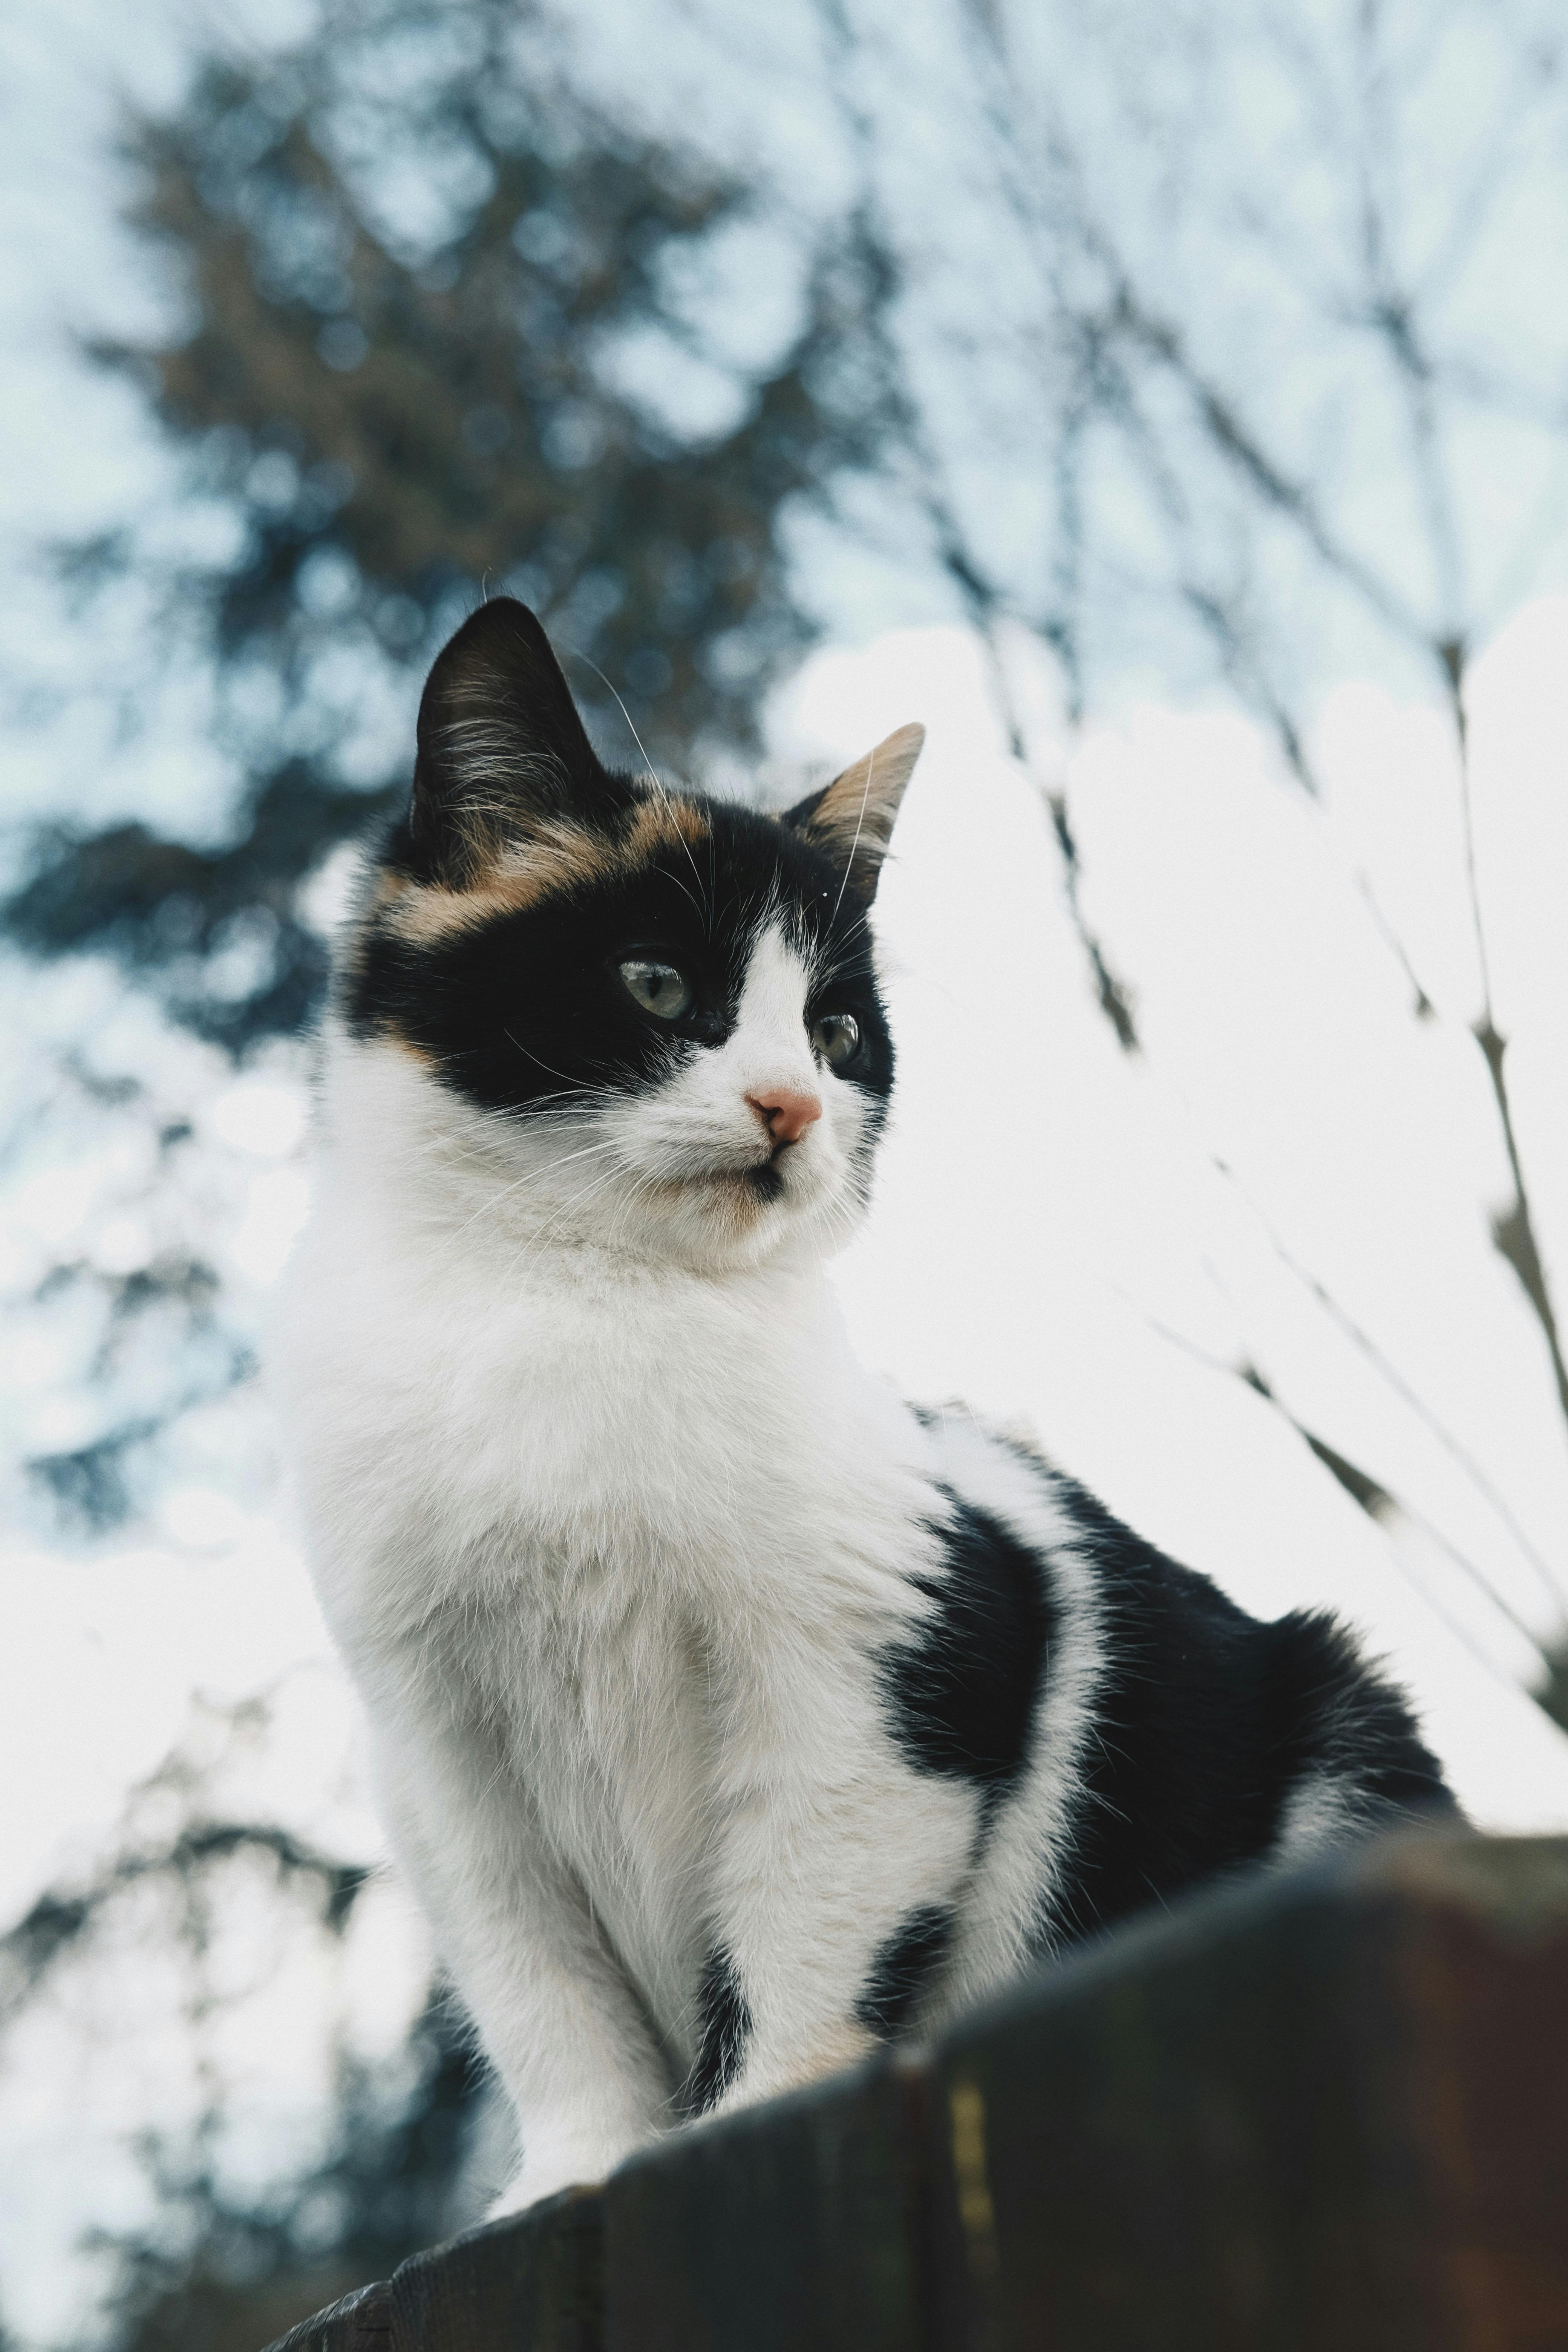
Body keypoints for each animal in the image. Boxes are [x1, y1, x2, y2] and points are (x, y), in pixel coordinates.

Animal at [273, 597, 1457, 2211]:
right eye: (658, 985)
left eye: (838, 1035)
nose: (793, 1108)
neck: (570, 1304)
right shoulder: (437, 1750)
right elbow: (539, 1990)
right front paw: (574, 2170)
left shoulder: (896, 1652)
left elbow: (804, 1935)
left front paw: (746, 2122)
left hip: (1336, 1712)